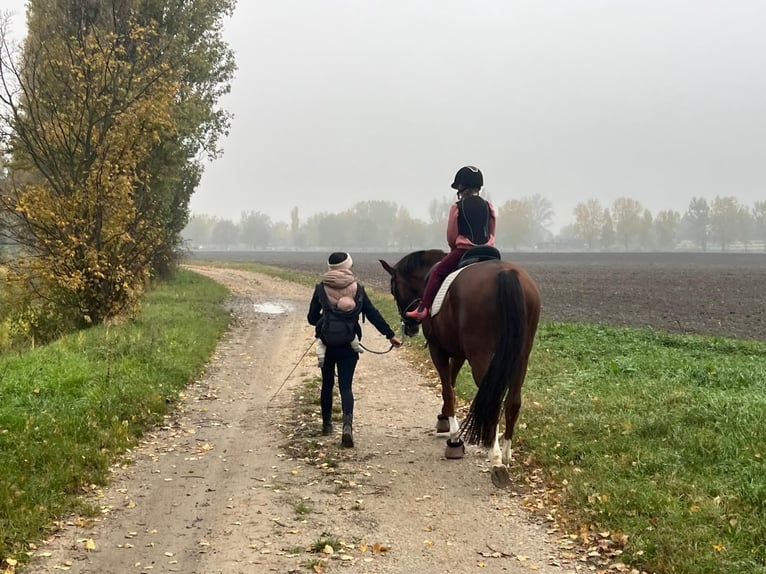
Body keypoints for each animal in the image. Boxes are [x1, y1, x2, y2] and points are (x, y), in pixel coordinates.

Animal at [380, 250, 540, 488]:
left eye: (393, 289)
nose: (409, 327)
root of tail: (506, 274)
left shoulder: (438, 349)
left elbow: (447, 388)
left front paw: (454, 437)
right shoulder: (458, 352)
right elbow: (452, 383)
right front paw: (443, 418)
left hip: (482, 356)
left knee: (493, 401)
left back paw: (496, 460)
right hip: (520, 357)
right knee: (513, 402)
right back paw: (506, 455)